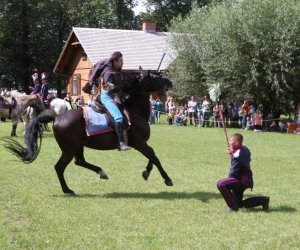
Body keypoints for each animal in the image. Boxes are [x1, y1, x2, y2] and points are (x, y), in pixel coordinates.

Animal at [4, 69, 173, 194]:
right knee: (60, 167)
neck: (134, 111)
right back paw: (67, 190)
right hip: (70, 149)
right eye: (155, 77)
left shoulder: (142, 144)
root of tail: (57, 118)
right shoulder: (140, 143)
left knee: (79, 162)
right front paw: (167, 179)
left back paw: (101, 172)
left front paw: (146, 172)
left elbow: (152, 157)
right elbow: (155, 157)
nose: (169, 82)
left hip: (78, 146)